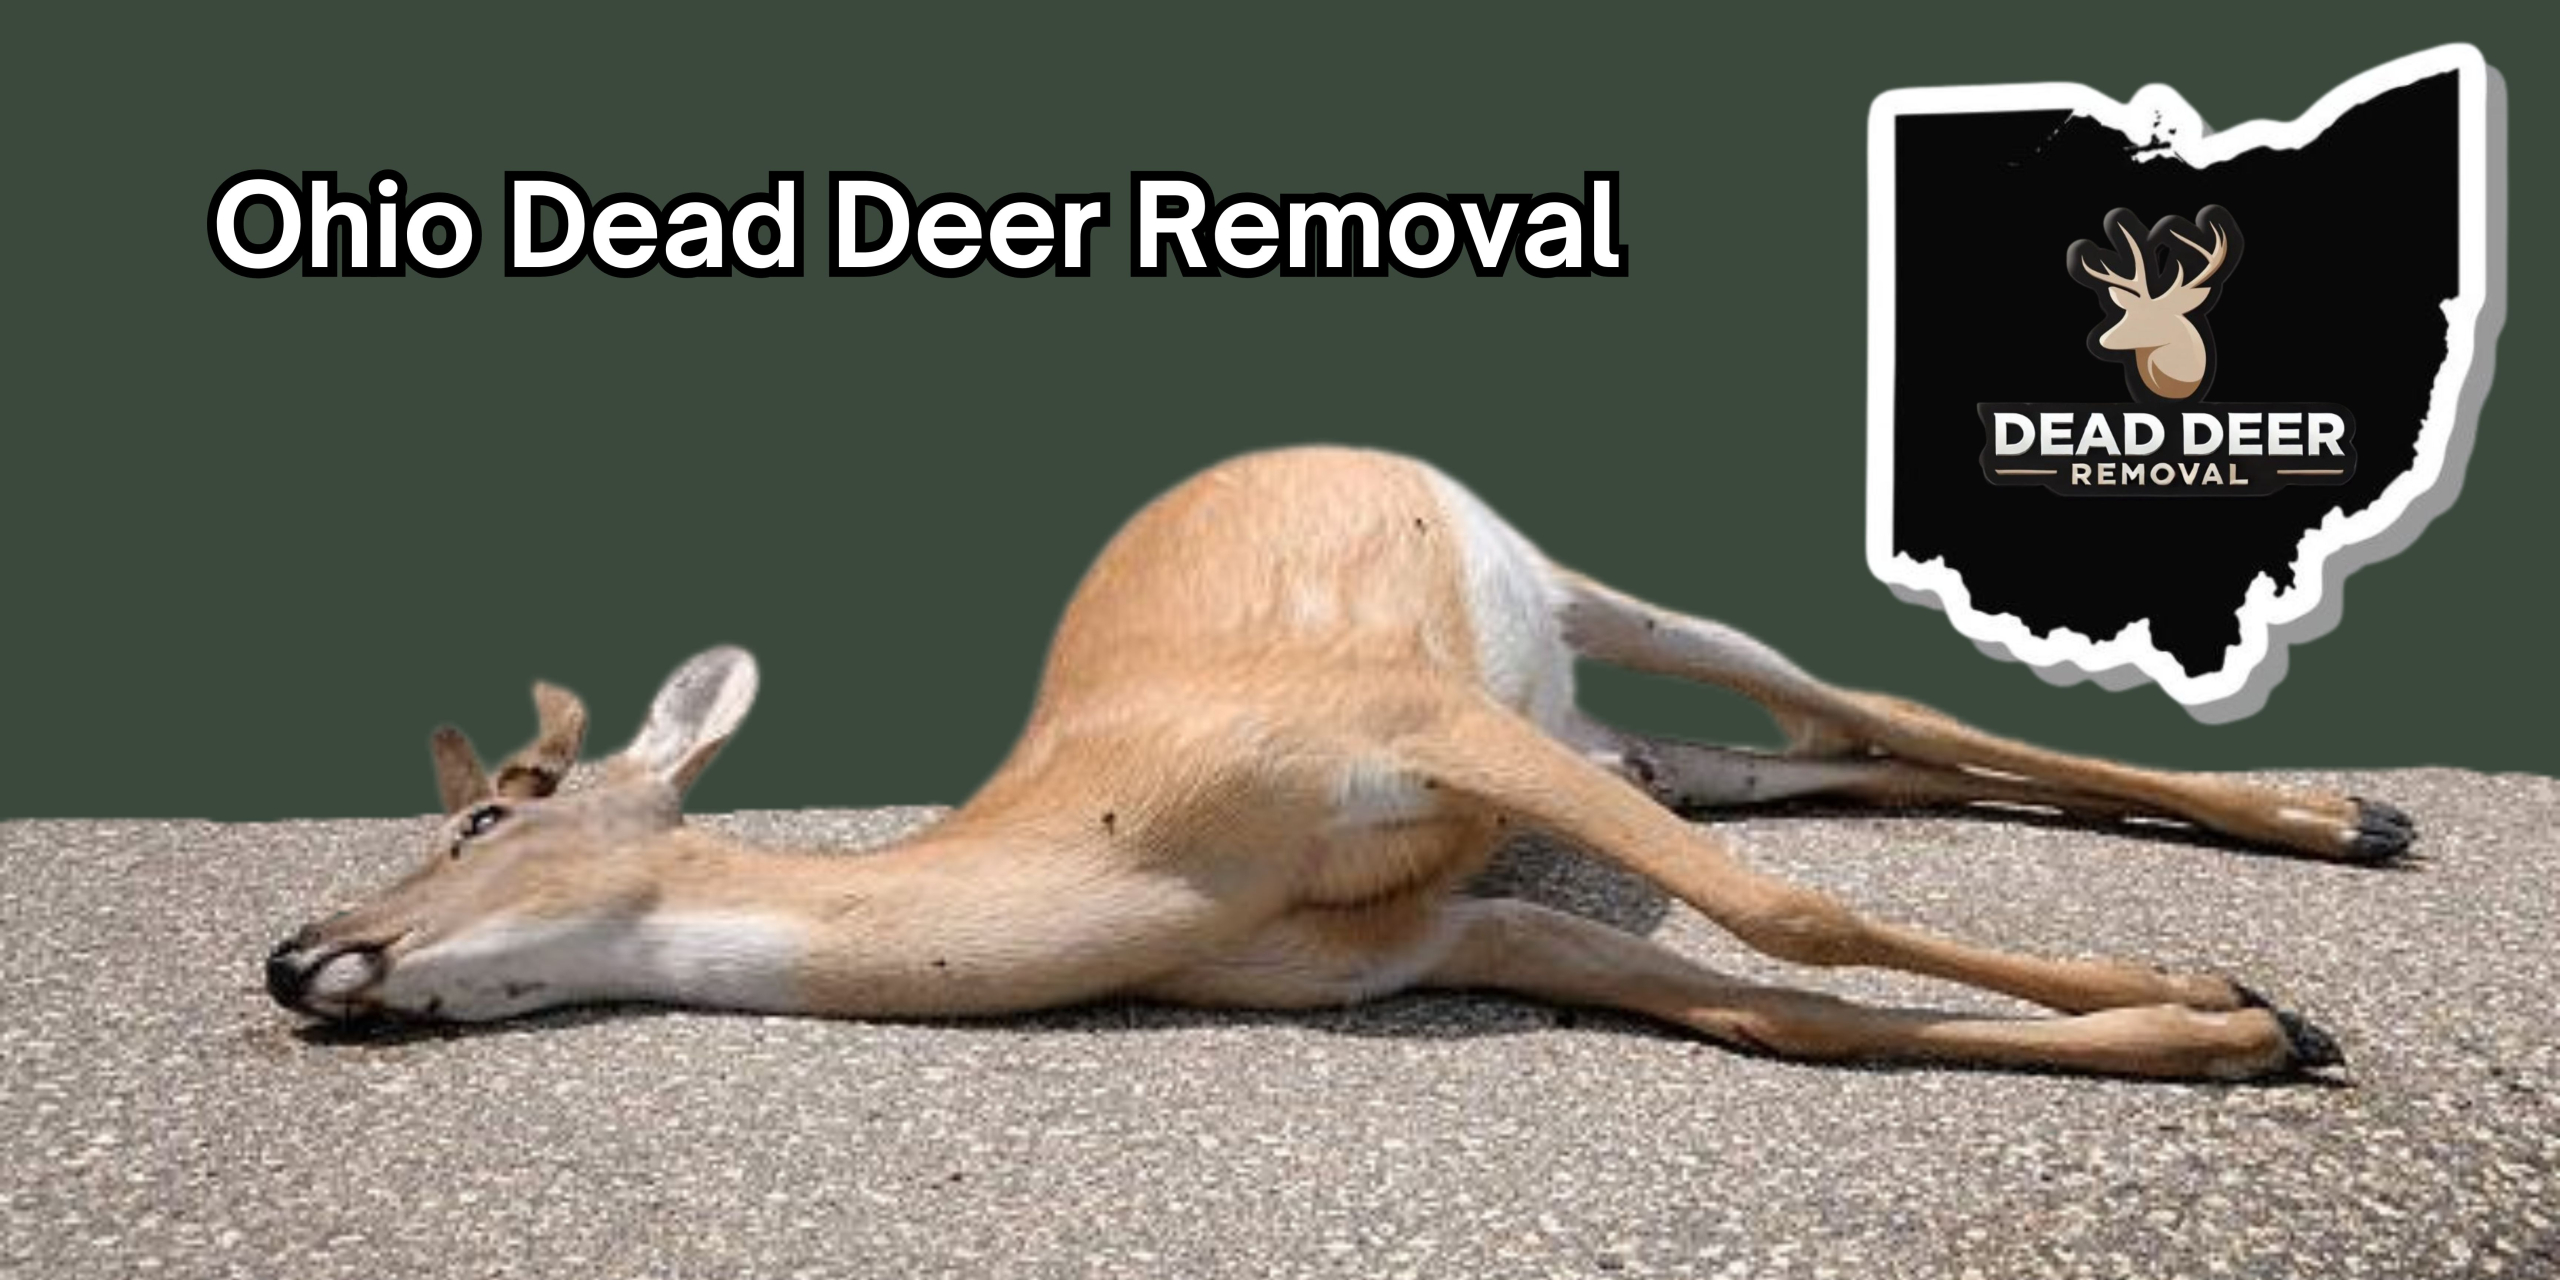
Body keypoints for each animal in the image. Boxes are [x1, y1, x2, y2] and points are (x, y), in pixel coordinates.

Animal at [266, 447, 2414, 1080]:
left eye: (486, 813)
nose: (295, 954)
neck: (1141, 856)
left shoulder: (1415, 727)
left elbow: (1787, 927)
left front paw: (2242, 998)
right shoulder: (1450, 934)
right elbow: (1777, 1010)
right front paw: (2237, 1032)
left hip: (1577, 615)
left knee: (1884, 714)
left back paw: (2347, 816)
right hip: (1602, 729)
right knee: (1819, 765)